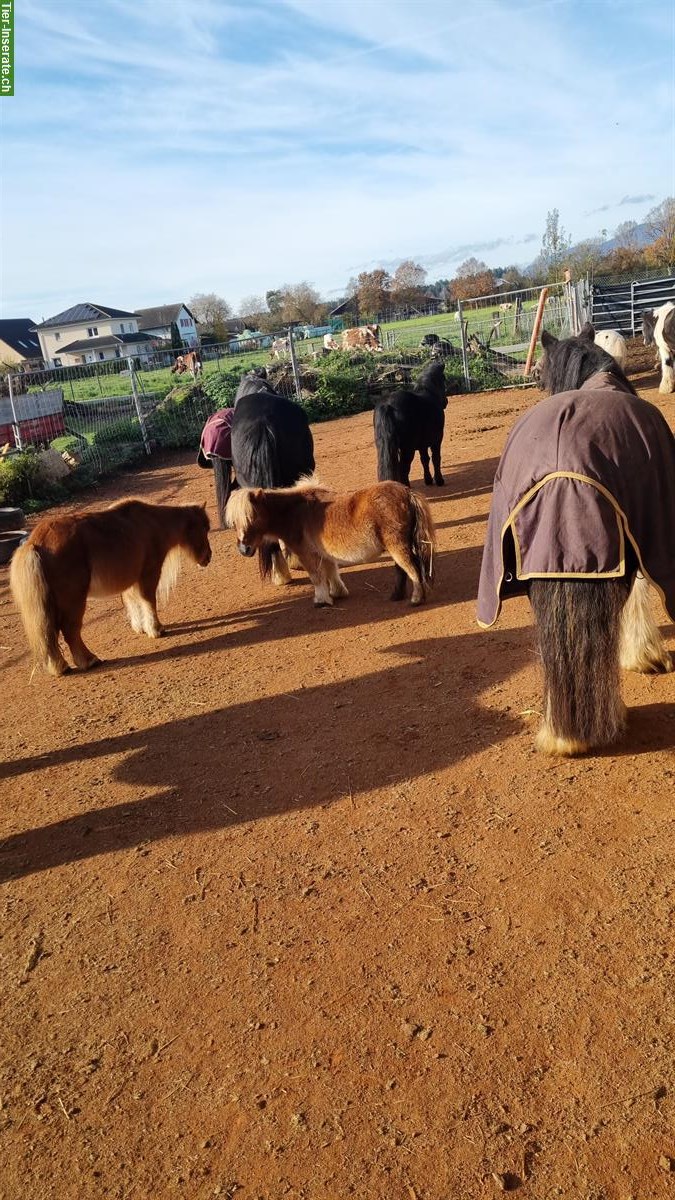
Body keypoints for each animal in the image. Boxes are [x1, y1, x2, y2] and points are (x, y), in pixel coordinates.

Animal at [9, 499, 210, 676]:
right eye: (204, 528)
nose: (208, 557)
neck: (153, 523)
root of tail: (34, 543)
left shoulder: (132, 580)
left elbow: (133, 602)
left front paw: (141, 627)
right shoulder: (148, 574)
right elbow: (148, 601)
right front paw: (156, 629)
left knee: (50, 633)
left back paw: (60, 666)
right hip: (74, 599)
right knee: (69, 630)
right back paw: (89, 660)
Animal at [372, 355, 446, 487]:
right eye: (444, 379)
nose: (446, 402)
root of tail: (388, 405)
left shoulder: (422, 444)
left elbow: (424, 459)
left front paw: (428, 480)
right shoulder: (437, 440)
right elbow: (436, 458)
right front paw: (439, 480)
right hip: (408, 448)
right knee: (403, 469)